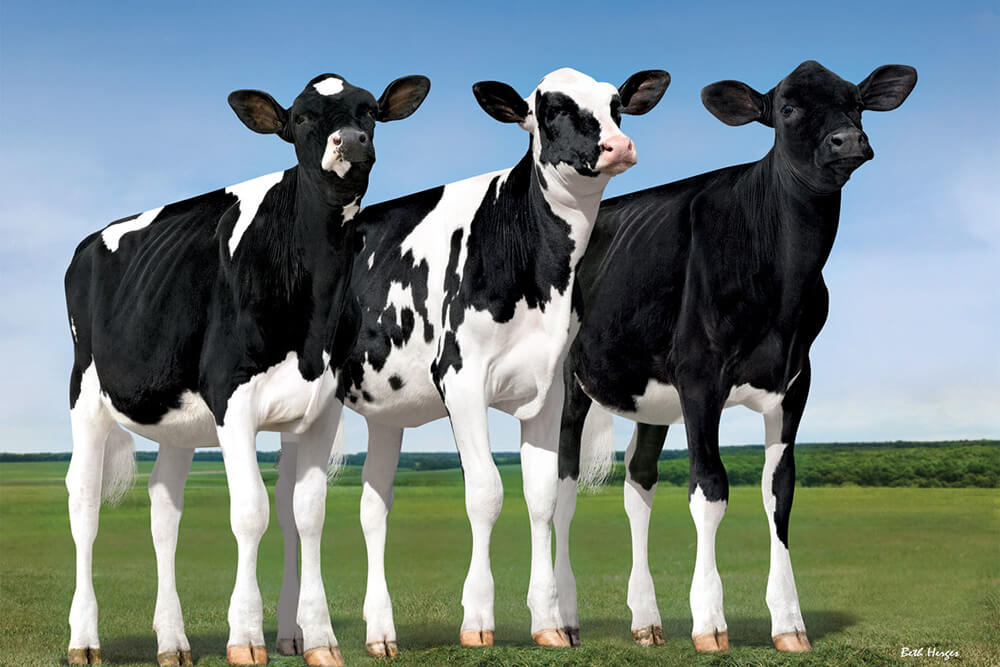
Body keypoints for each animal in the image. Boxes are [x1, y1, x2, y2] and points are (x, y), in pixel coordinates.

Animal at [63, 72, 430, 667]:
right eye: (300, 118)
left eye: (370, 112)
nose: (350, 142)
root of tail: (91, 239)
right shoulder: (231, 400)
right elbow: (251, 511)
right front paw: (246, 638)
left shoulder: (322, 406)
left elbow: (307, 512)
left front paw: (320, 640)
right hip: (86, 392)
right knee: (85, 500)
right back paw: (85, 640)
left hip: (177, 418)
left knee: (163, 506)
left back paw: (172, 641)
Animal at [555, 61, 917, 653]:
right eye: (788, 109)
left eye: (856, 103)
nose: (847, 140)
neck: (783, 278)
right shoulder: (701, 377)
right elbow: (710, 486)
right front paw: (709, 623)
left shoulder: (795, 381)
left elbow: (780, 491)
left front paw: (790, 624)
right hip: (569, 382)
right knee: (560, 482)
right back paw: (560, 618)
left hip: (653, 397)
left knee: (639, 481)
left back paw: (646, 620)